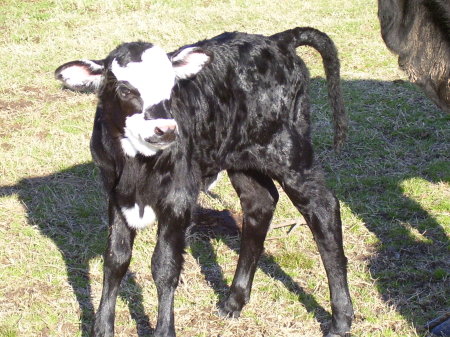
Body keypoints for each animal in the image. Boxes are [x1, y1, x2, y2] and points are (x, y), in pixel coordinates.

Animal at [54, 27, 354, 334]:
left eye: (172, 86)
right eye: (125, 89)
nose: (166, 129)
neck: (137, 167)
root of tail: (277, 40)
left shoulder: (179, 196)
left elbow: (165, 266)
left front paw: (164, 330)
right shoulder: (115, 195)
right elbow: (115, 260)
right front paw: (102, 329)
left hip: (289, 152)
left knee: (323, 208)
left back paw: (341, 318)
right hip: (241, 159)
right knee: (260, 204)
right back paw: (234, 301)